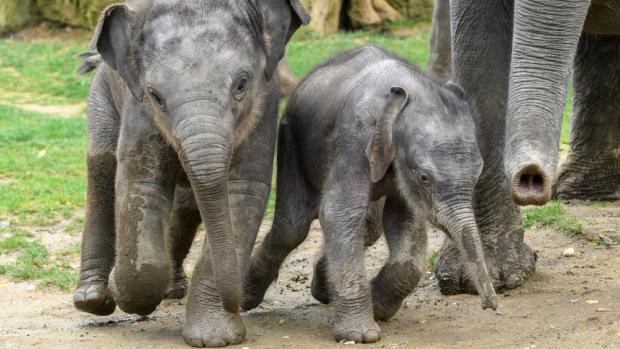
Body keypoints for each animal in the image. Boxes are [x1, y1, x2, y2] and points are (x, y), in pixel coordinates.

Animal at [242, 45, 498, 342]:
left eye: (478, 173)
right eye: (424, 177)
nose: (491, 306)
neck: (407, 93)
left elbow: (405, 221)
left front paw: (379, 309)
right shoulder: (355, 137)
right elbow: (340, 212)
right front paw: (362, 334)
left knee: (367, 227)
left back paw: (322, 291)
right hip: (290, 138)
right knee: (292, 227)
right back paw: (247, 298)